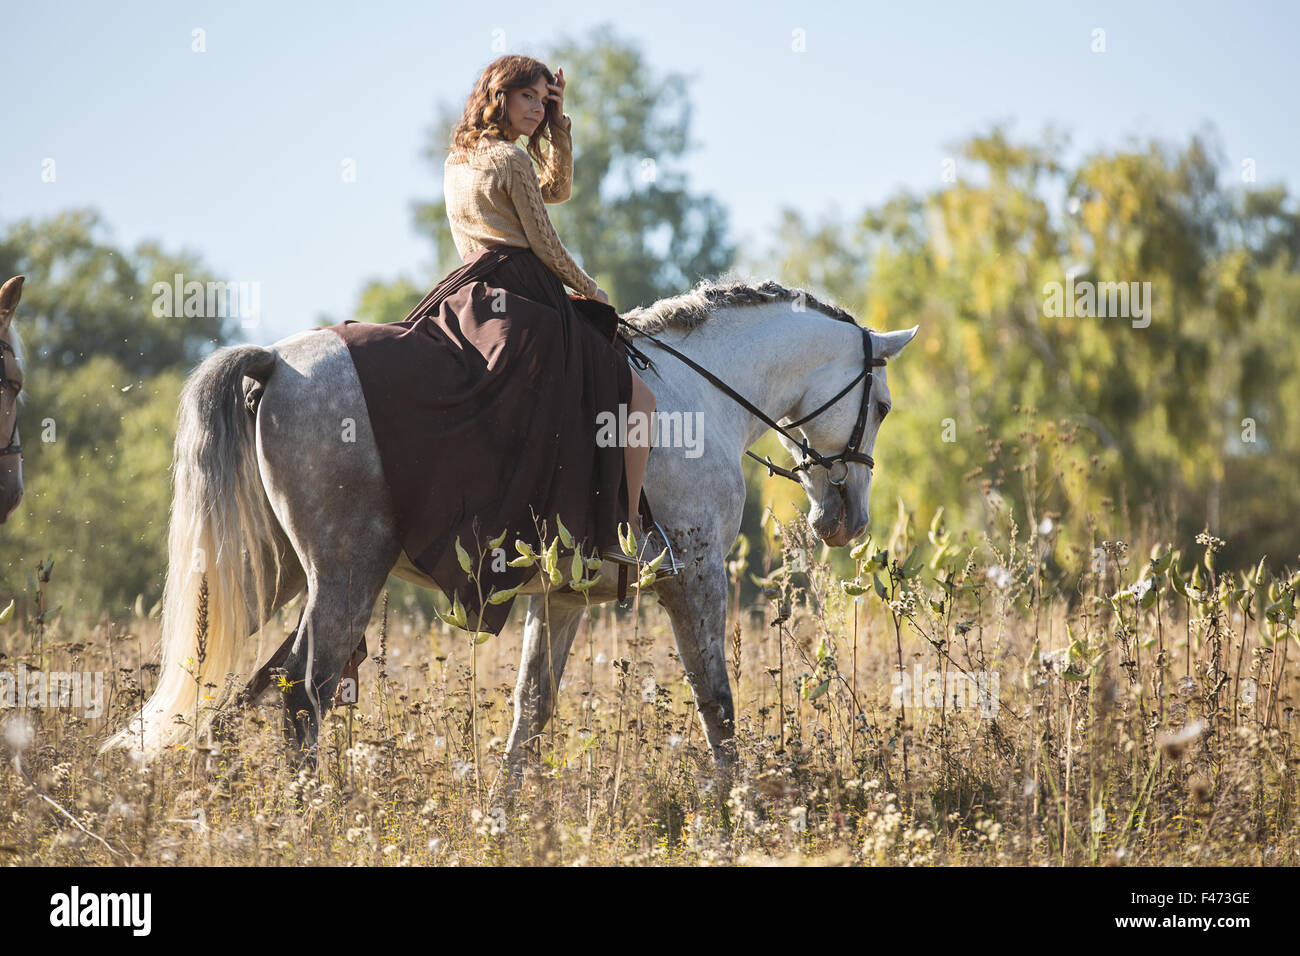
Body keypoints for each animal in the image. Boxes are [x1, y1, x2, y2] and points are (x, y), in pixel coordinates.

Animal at [98, 274, 915, 790]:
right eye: (882, 405)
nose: (844, 521)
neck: (700, 395)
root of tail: (274, 363)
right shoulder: (695, 576)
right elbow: (717, 702)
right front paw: (737, 814)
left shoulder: (563, 598)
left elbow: (532, 710)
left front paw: (501, 818)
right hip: (346, 576)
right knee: (302, 692)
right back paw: (308, 815)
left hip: (273, 575)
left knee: (229, 686)